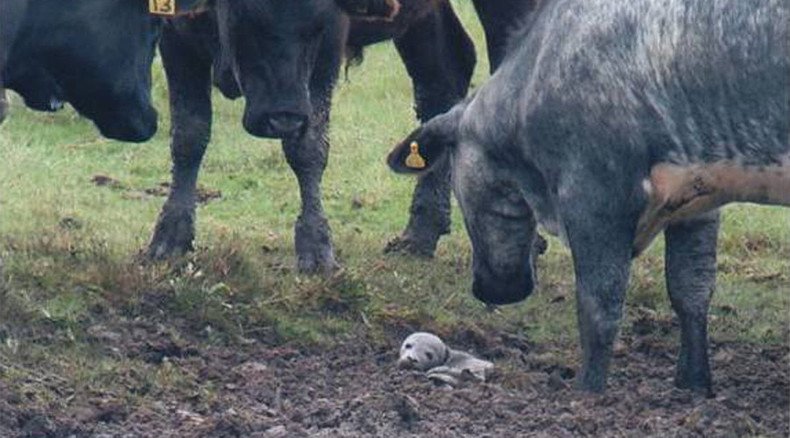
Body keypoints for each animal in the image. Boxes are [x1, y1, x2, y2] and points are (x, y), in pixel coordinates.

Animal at [146, 0, 540, 272]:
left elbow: (308, 148)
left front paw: (316, 248)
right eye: (245, 19)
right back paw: (418, 235)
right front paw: (169, 239)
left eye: (316, 27)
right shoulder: (175, 36)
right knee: (443, 77)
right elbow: (189, 136)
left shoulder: (330, 47)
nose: (283, 118)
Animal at [392, 0, 790, 394]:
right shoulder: (697, 193)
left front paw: (588, 391)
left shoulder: (594, 194)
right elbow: (691, 288)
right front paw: (692, 384)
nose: (493, 289)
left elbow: (599, 304)